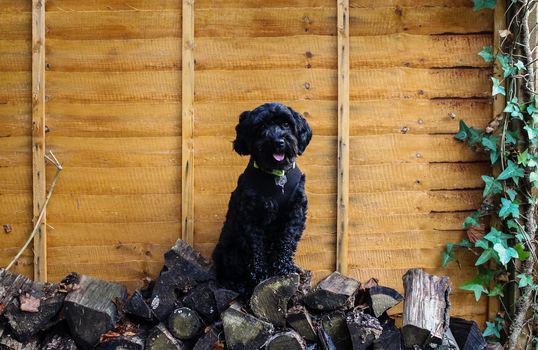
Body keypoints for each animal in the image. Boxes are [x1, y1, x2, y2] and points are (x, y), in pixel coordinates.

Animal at [209, 102, 310, 296]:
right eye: (262, 126)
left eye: (286, 124)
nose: (278, 142)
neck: (276, 175)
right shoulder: (250, 216)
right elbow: (255, 247)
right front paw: (260, 275)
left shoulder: (296, 213)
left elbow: (287, 239)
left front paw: (284, 267)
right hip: (228, 250)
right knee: (228, 274)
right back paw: (239, 284)